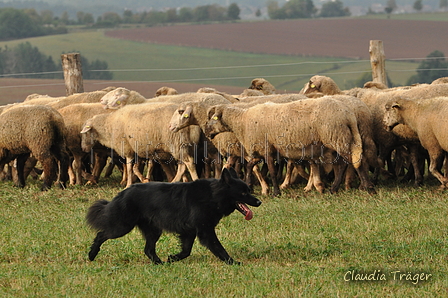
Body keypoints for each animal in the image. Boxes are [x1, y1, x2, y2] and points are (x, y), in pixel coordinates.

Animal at [85, 169, 260, 264]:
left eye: (249, 190)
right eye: (243, 193)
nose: (259, 202)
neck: (213, 195)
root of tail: (122, 193)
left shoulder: (190, 231)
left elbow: (186, 251)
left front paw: (172, 258)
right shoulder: (205, 231)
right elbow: (219, 248)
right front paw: (233, 262)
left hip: (154, 231)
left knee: (148, 249)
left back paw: (160, 264)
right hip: (122, 226)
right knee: (101, 234)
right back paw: (91, 254)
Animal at [205, 96, 366, 197]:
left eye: (213, 119)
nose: (206, 131)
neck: (242, 121)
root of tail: (348, 114)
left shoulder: (267, 149)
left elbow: (271, 170)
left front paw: (275, 192)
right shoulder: (261, 149)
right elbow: (251, 166)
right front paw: (250, 185)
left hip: (336, 137)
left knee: (347, 162)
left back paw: (351, 187)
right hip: (340, 139)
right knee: (349, 162)